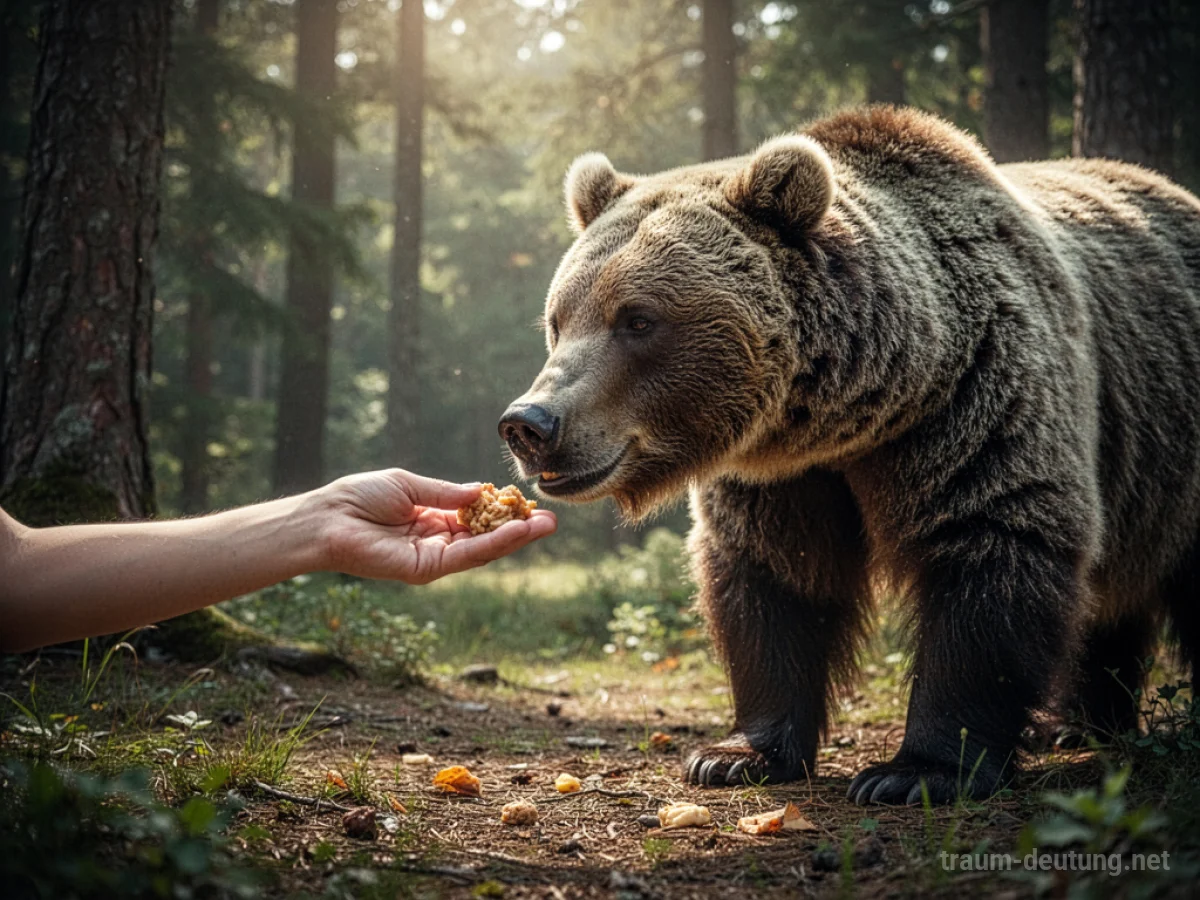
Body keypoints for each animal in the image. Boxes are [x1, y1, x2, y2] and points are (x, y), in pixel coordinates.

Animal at [498, 106, 1200, 805]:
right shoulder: (785, 479)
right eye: (559, 320)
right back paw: (1076, 726)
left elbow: (991, 554)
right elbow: (775, 584)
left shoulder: (981, 405)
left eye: (638, 319)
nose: (530, 424)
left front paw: (916, 771)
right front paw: (735, 755)